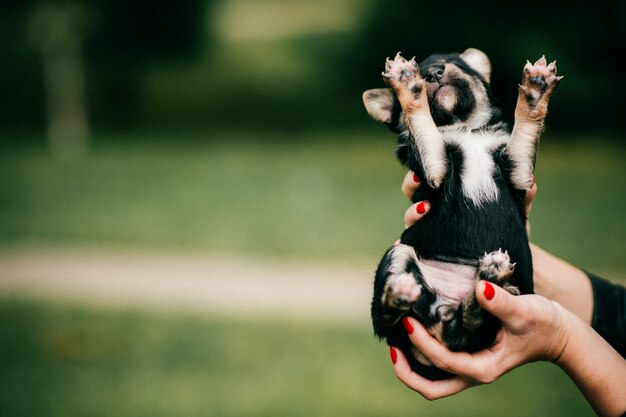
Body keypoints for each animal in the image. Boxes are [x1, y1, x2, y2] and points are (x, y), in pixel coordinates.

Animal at [360, 48, 560, 380]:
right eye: (424, 71)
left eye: (453, 64)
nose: (433, 73)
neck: (466, 131)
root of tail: (442, 315)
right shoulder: (433, 167)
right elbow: (422, 124)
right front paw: (406, 83)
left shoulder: (519, 171)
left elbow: (526, 126)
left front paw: (535, 88)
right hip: (399, 254)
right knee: (387, 316)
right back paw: (400, 295)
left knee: (468, 330)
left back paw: (490, 281)